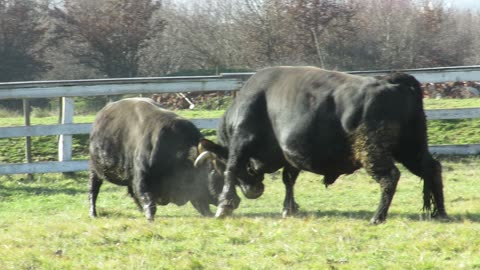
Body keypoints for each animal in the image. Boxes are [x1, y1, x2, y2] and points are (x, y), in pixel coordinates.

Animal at [198, 65, 446, 224]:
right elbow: (288, 179)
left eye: (216, 166)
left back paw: (377, 217)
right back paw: (440, 212)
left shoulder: (241, 142)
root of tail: (391, 80)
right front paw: (289, 208)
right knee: (432, 169)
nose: (254, 191)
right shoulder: (290, 154)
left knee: (390, 177)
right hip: (411, 148)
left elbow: (232, 169)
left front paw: (224, 206)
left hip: (373, 151)